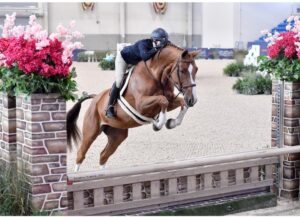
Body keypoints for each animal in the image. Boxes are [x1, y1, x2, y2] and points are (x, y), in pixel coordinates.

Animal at [67, 42, 199, 171]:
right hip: (90, 132)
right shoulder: (141, 105)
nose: (193, 100)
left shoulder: (171, 100)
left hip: (117, 135)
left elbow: (181, 103)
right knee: (81, 154)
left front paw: (172, 123)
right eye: (182, 70)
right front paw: (158, 124)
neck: (156, 75)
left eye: (196, 70)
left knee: (104, 155)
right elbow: (163, 100)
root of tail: (95, 98)